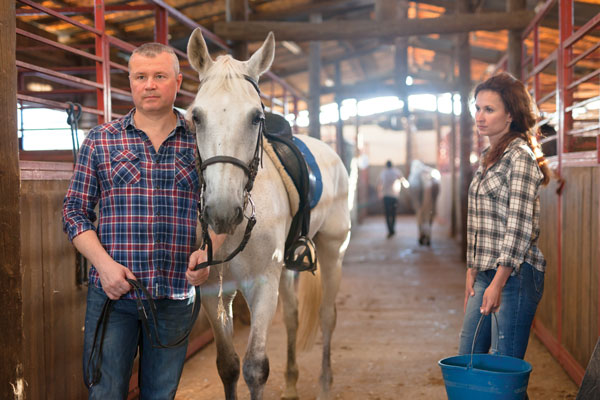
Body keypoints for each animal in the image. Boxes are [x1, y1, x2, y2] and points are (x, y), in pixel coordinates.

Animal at [185, 28, 350, 400]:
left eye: (256, 117)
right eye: (196, 116)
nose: (222, 211)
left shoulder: (261, 285)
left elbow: (255, 368)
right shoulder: (213, 290)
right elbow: (228, 365)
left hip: (333, 251)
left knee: (327, 316)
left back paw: (325, 385)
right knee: (292, 316)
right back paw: (290, 385)